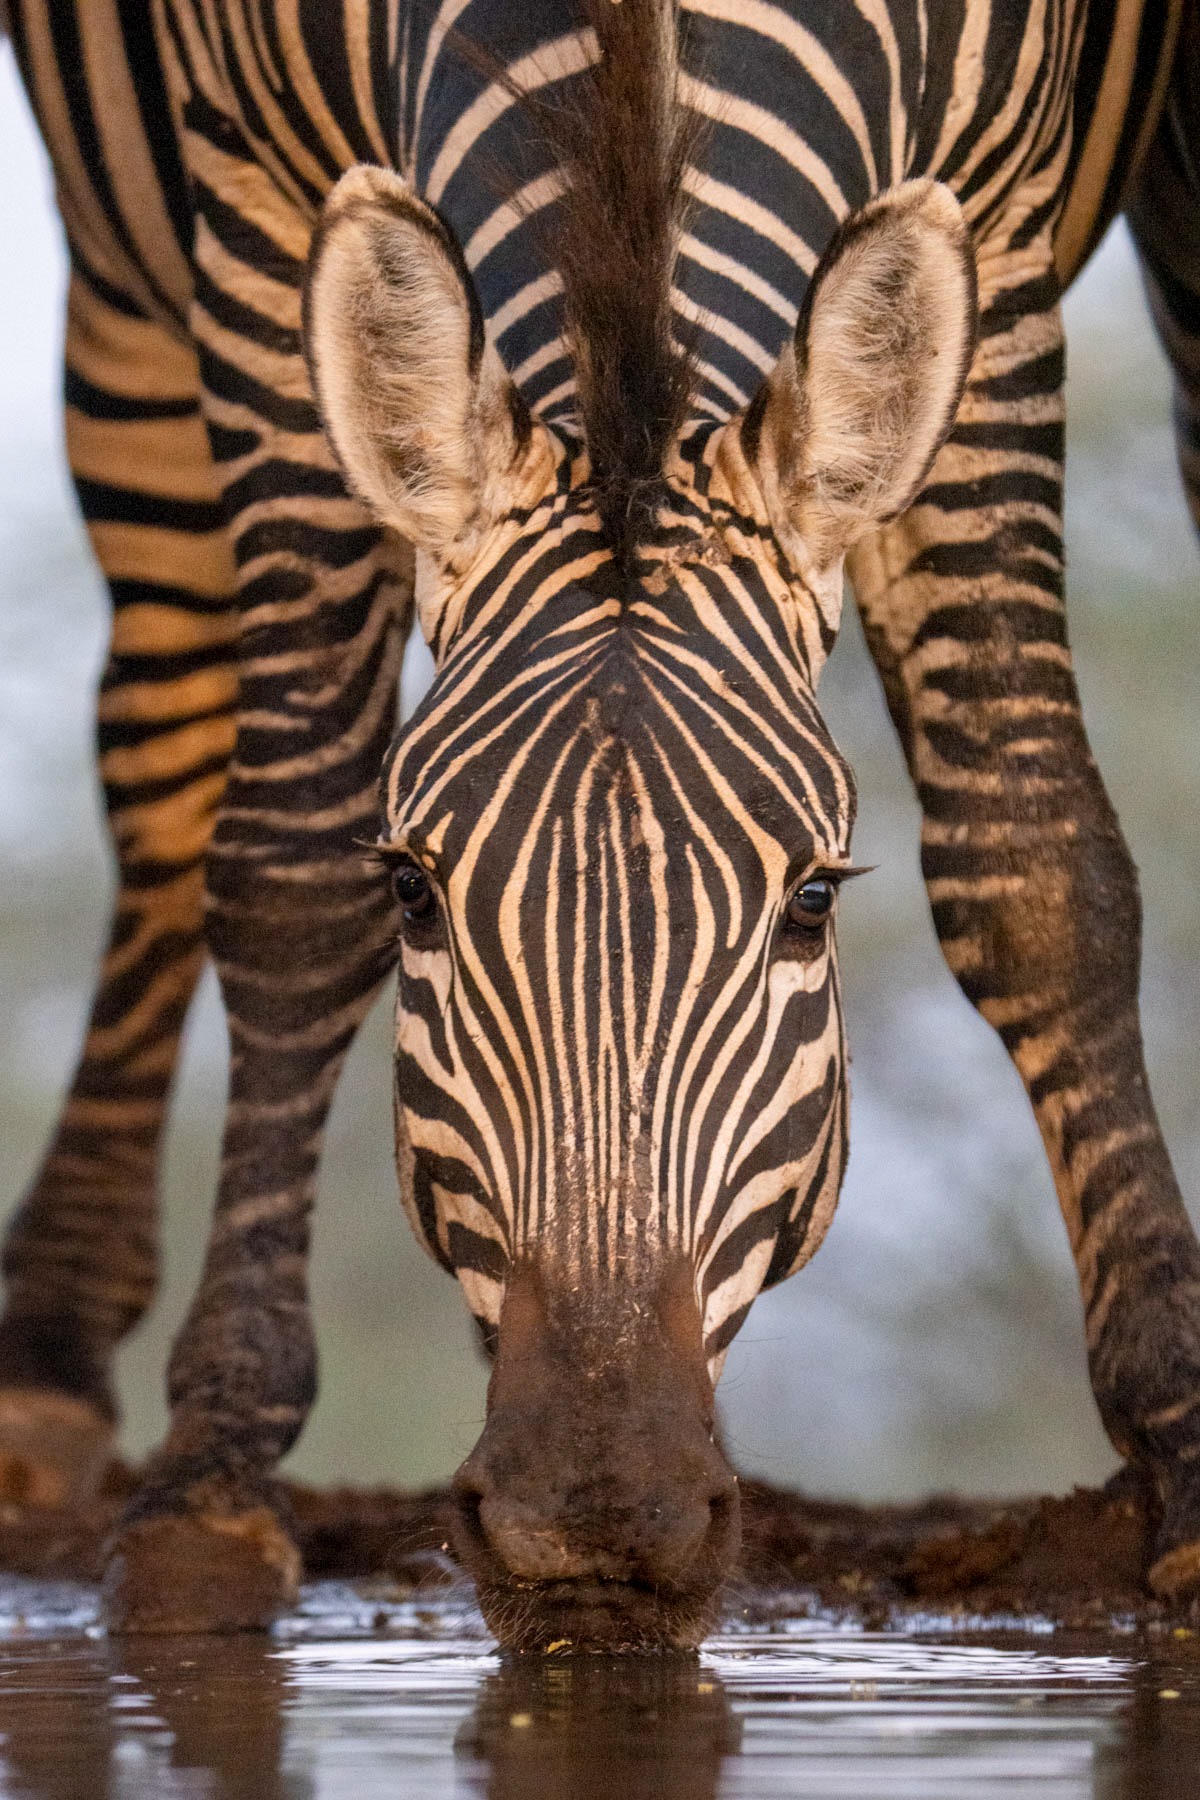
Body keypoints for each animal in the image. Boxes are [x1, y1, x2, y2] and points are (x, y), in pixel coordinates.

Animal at [3, 0, 1200, 1651]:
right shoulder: (254, 202)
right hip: (126, 287)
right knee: (170, 754)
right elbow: (286, 861)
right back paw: (50, 1365)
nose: (599, 1525)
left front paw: (1181, 1436)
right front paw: (211, 1484)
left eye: (813, 901)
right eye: (415, 894)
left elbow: (1033, 853)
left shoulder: (1001, 217)